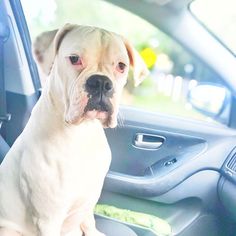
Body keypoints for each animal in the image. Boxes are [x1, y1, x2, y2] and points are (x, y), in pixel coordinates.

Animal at [0, 24, 148, 236]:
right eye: (74, 59)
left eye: (121, 66)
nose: (101, 82)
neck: (80, 133)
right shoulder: (49, 220)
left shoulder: (88, 202)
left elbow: (89, 222)